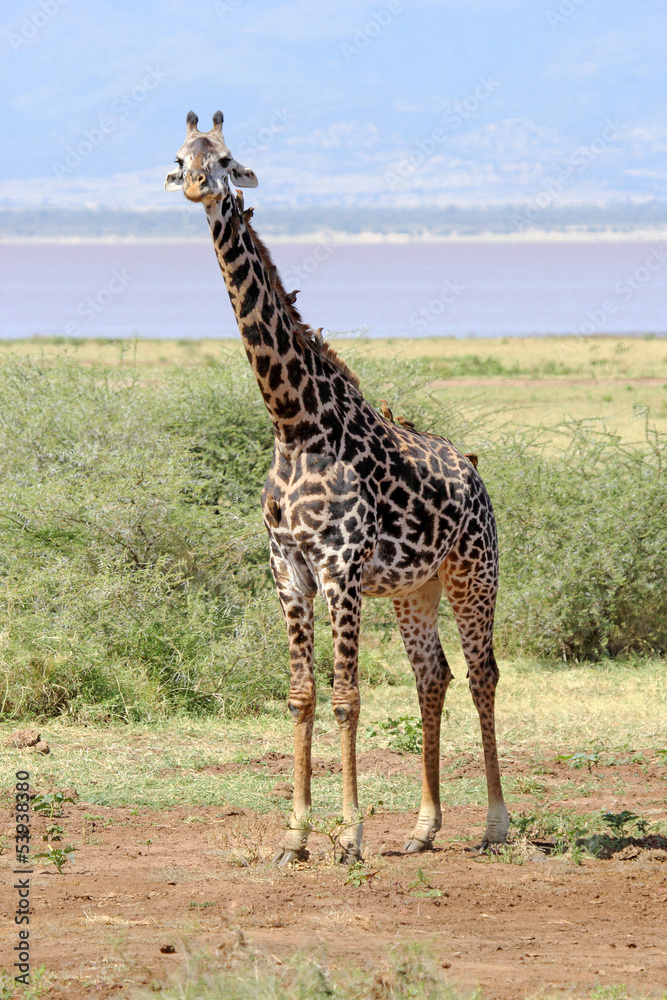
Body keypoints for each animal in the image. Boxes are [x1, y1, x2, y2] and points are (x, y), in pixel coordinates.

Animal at [165, 111, 509, 863]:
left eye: (226, 158)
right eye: (179, 157)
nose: (199, 186)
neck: (294, 425)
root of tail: (473, 470)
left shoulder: (340, 566)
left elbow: (348, 695)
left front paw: (348, 835)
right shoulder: (287, 566)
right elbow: (301, 695)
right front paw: (295, 836)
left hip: (474, 570)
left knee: (482, 673)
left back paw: (496, 824)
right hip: (415, 588)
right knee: (432, 675)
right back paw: (422, 828)